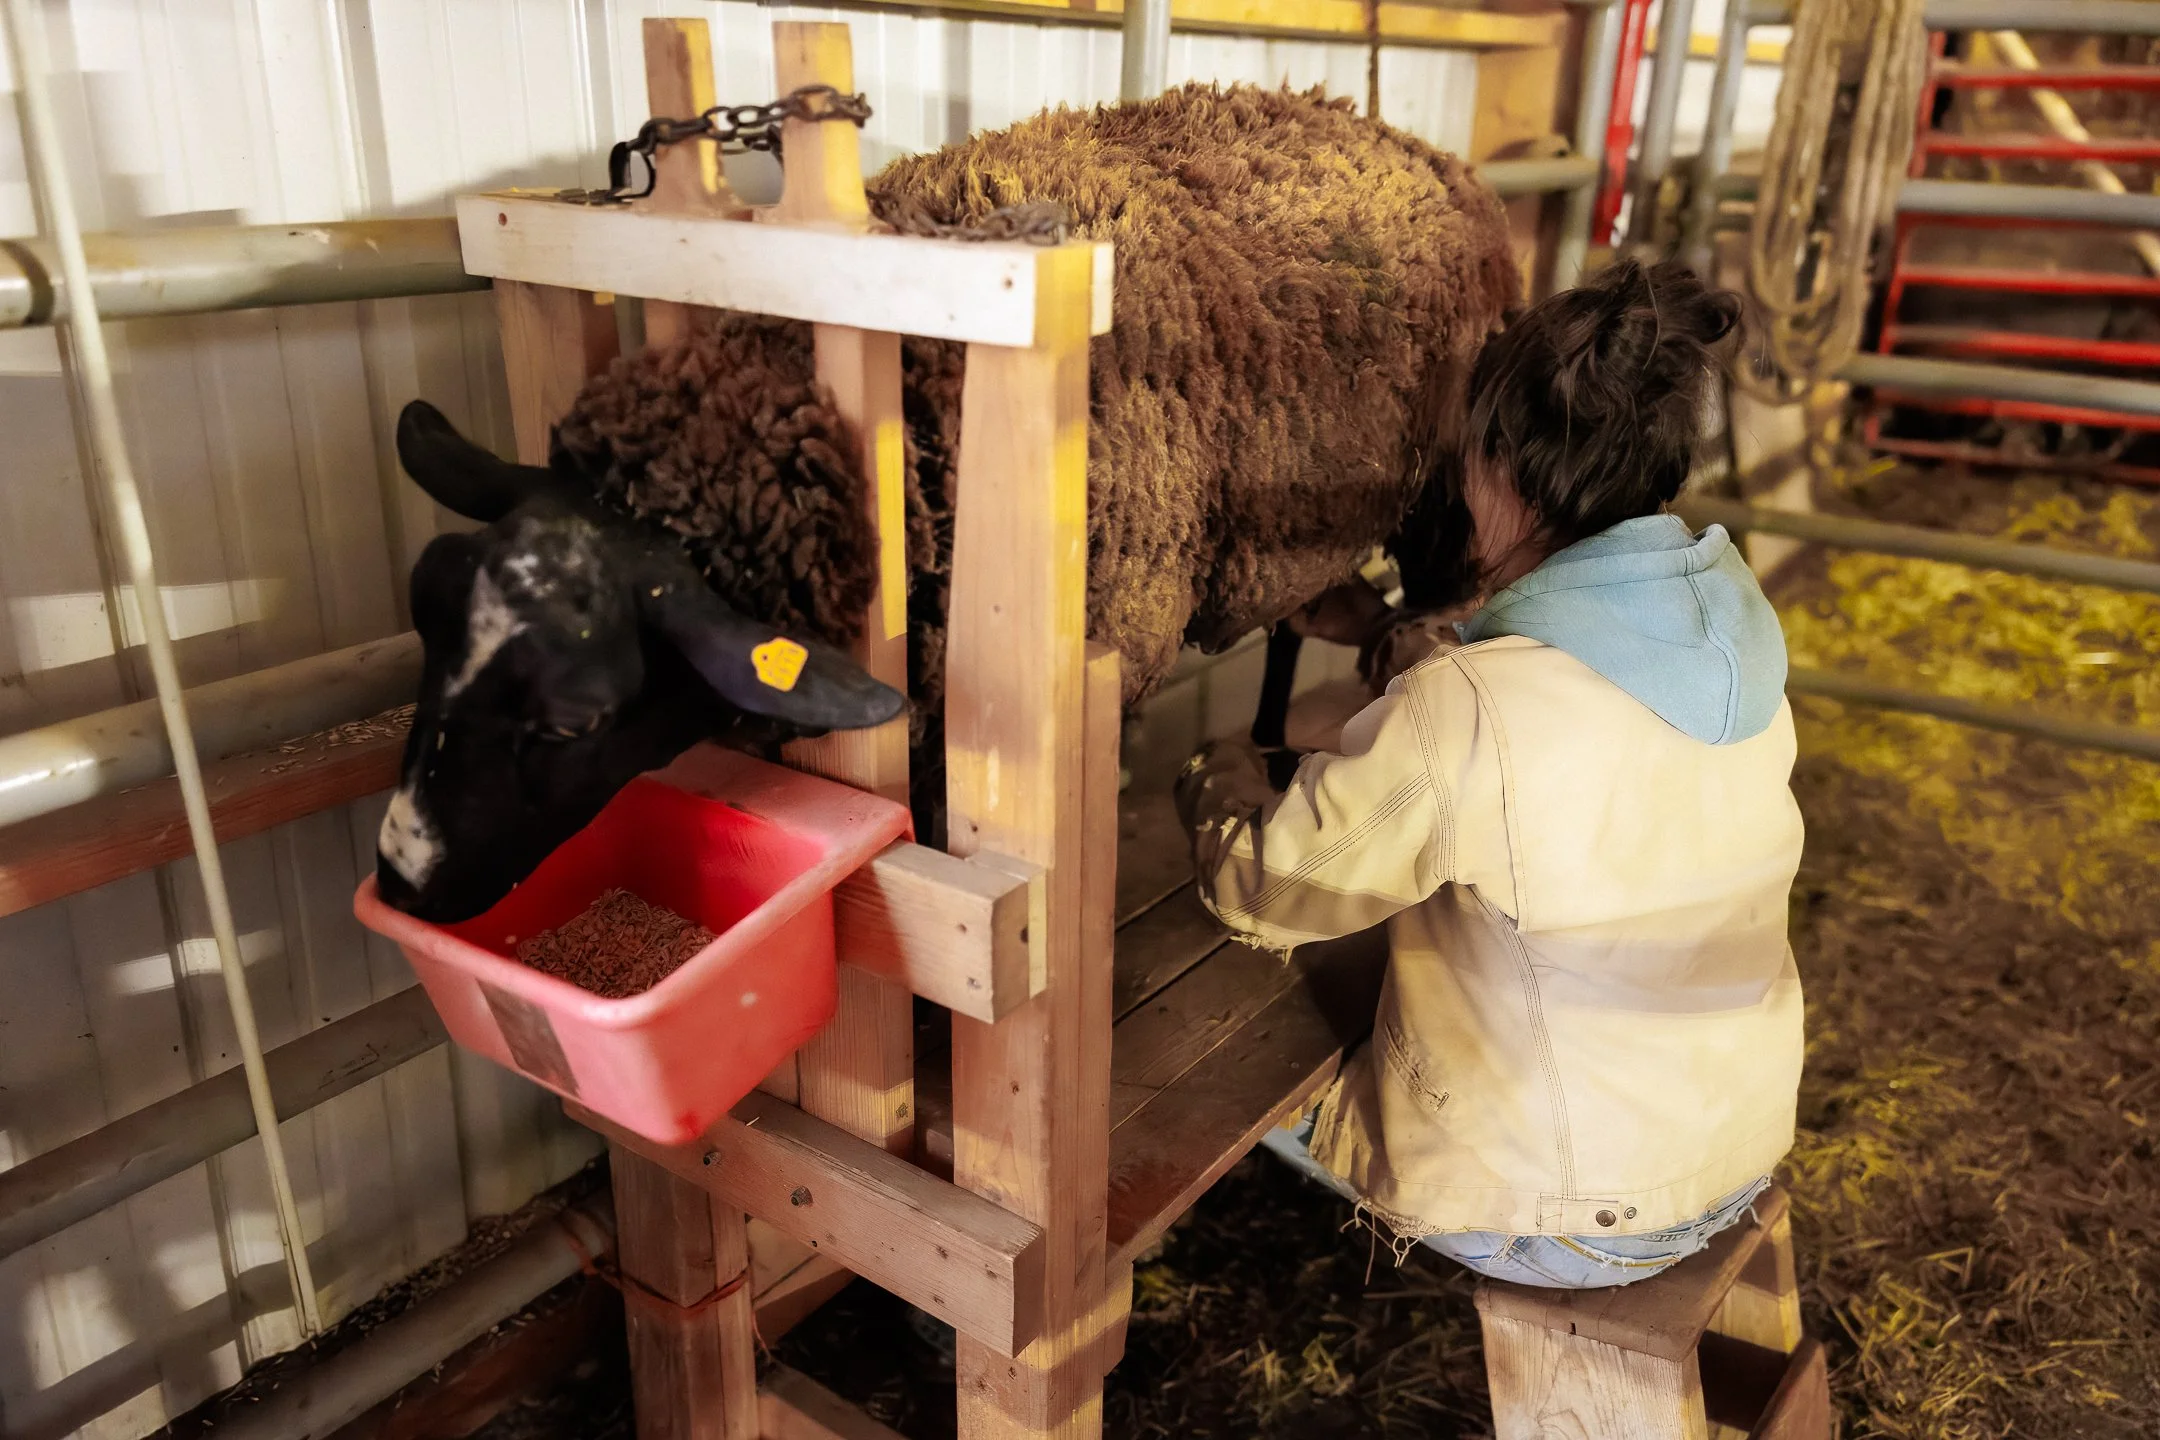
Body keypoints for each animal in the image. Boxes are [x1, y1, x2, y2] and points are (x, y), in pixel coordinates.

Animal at [377, 82, 1519, 923]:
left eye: (575, 721)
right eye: (424, 609)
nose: (398, 878)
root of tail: (1397, 132)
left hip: (1438, 502)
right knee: (1290, 618)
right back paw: (1278, 731)